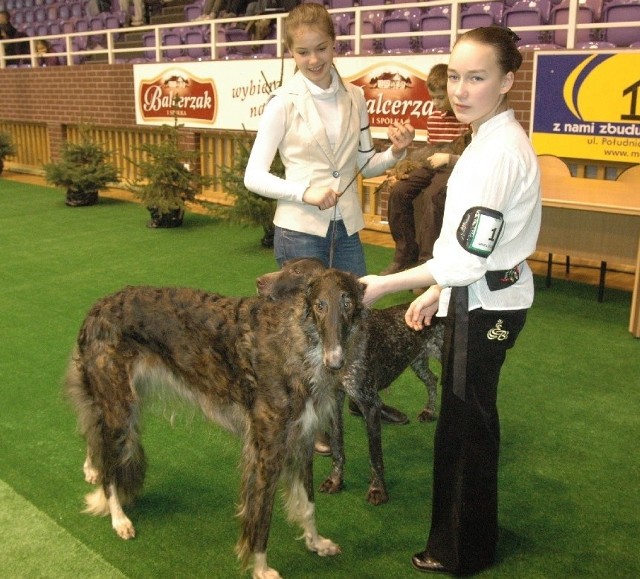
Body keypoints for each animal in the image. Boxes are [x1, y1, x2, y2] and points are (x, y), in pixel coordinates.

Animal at [65, 268, 368, 579]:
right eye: (320, 305)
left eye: (348, 304)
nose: (335, 361)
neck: (296, 340)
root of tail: (96, 309)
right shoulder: (267, 451)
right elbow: (261, 518)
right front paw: (260, 568)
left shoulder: (302, 440)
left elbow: (307, 505)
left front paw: (317, 543)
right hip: (118, 407)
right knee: (110, 469)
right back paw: (119, 518)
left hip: (122, 403)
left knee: (96, 436)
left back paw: (91, 468)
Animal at [256, 260, 444, 506]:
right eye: (319, 305)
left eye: (348, 303)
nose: (259, 282)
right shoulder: (334, 399)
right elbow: (337, 446)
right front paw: (336, 480)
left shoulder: (370, 405)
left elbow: (375, 456)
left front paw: (377, 489)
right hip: (418, 361)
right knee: (432, 379)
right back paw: (429, 411)